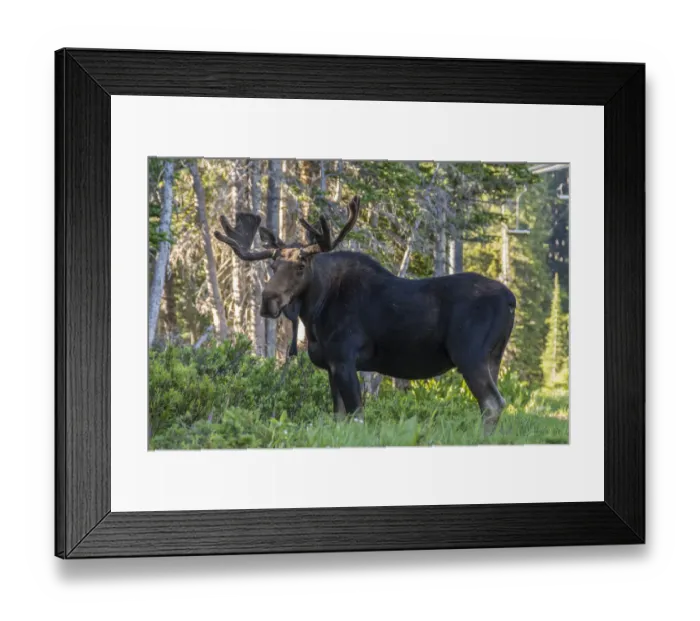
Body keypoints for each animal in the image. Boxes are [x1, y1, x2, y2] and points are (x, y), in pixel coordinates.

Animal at [215, 196, 517, 435]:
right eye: (273, 265)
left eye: (300, 266)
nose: (269, 300)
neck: (314, 313)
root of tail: (511, 300)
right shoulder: (331, 366)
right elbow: (337, 417)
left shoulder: (345, 360)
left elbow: (357, 417)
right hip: (493, 358)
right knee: (493, 404)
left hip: (469, 354)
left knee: (492, 403)